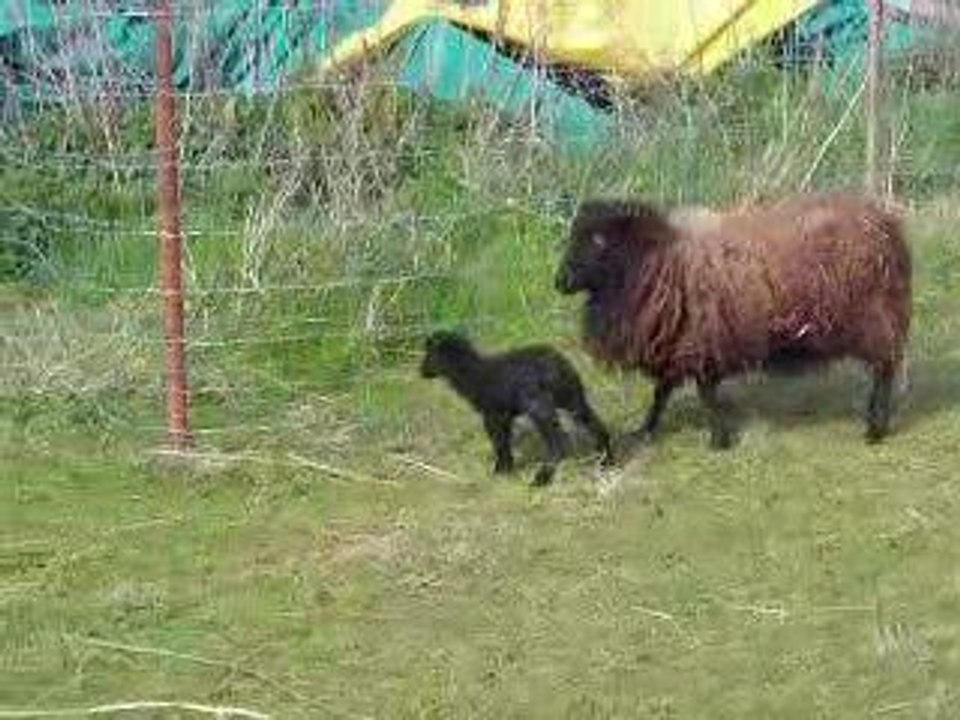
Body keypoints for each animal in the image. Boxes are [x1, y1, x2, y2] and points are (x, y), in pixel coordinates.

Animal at [420, 330, 614, 485]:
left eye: (429, 356)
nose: (421, 372)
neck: (473, 375)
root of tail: (557, 367)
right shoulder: (505, 415)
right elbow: (505, 441)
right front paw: (508, 468)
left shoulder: (492, 414)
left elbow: (499, 442)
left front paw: (500, 470)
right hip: (571, 397)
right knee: (595, 424)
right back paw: (607, 461)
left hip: (539, 405)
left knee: (558, 442)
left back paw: (541, 479)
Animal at [554, 192, 912, 449]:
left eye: (597, 240)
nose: (559, 282)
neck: (657, 261)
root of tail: (885, 225)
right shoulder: (678, 343)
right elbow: (662, 392)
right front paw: (644, 431)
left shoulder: (698, 341)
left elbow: (704, 393)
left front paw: (718, 439)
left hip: (873, 317)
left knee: (884, 369)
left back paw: (875, 429)